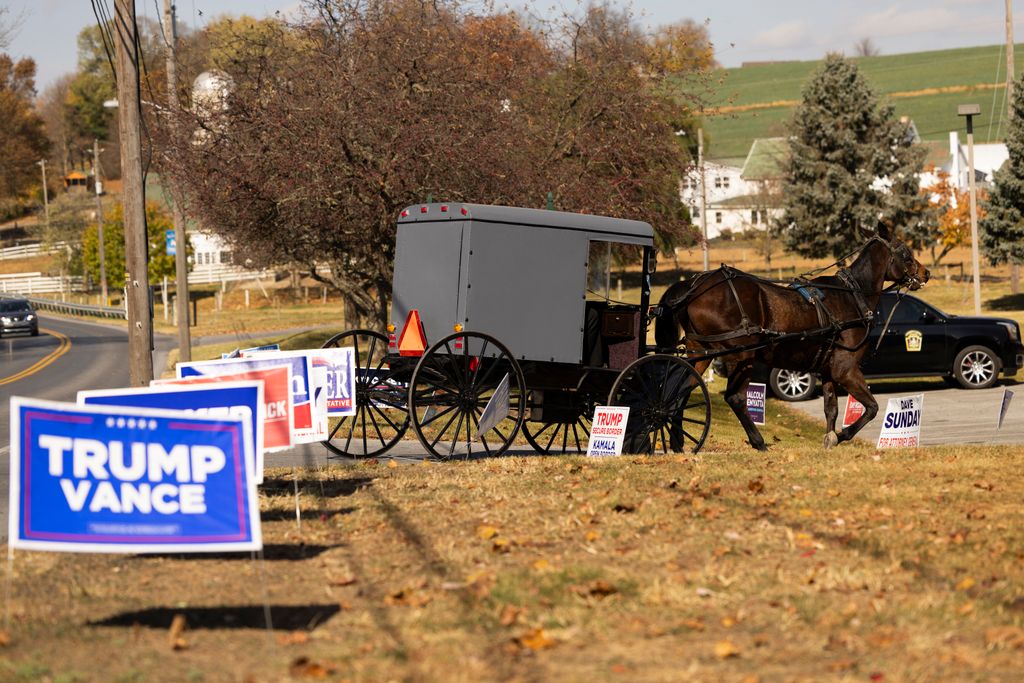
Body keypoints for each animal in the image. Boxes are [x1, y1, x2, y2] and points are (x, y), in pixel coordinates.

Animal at [655, 232, 929, 450]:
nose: (926, 273)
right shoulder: (846, 368)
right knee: (735, 398)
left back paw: (677, 440)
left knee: (681, 391)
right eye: (905, 253)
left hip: (699, 354)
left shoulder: (828, 370)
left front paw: (829, 438)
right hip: (742, 355)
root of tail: (693, 285)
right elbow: (871, 407)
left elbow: (831, 408)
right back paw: (758, 442)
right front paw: (842, 436)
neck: (851, 295)